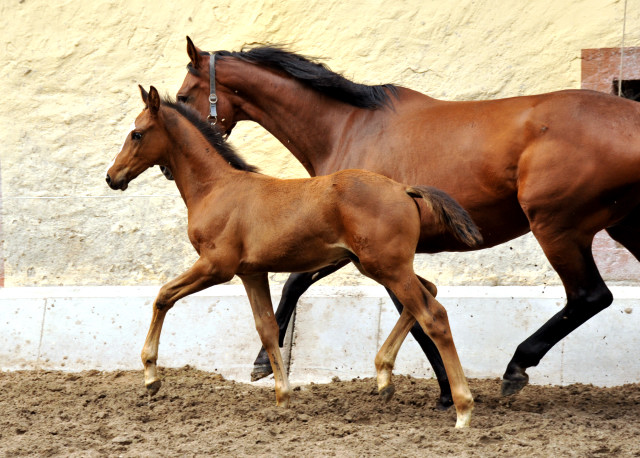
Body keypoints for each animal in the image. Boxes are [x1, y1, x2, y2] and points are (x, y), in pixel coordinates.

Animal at [106, 86, 484, 430]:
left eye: (137, 133)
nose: (112, 177)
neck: (216, 188)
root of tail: (403, 188)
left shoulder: (216, 267)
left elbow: (163, 296)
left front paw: (151, 377)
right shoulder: (251, 273)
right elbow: (267, 327)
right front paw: (283, 398)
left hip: (387, 267)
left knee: (433, 315)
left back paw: (462, 410)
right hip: (377, 265)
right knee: (429, 292)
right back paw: (383, 377)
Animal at [176, 38, 640, 404]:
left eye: (182, 97)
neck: (347, 128)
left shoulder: (373, 251)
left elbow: (414, 312)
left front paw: (446, 392)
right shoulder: (352, 249)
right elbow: (303, 285)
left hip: (557, 227)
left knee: (589, 296)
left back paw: (516, 368)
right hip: (622, 226)